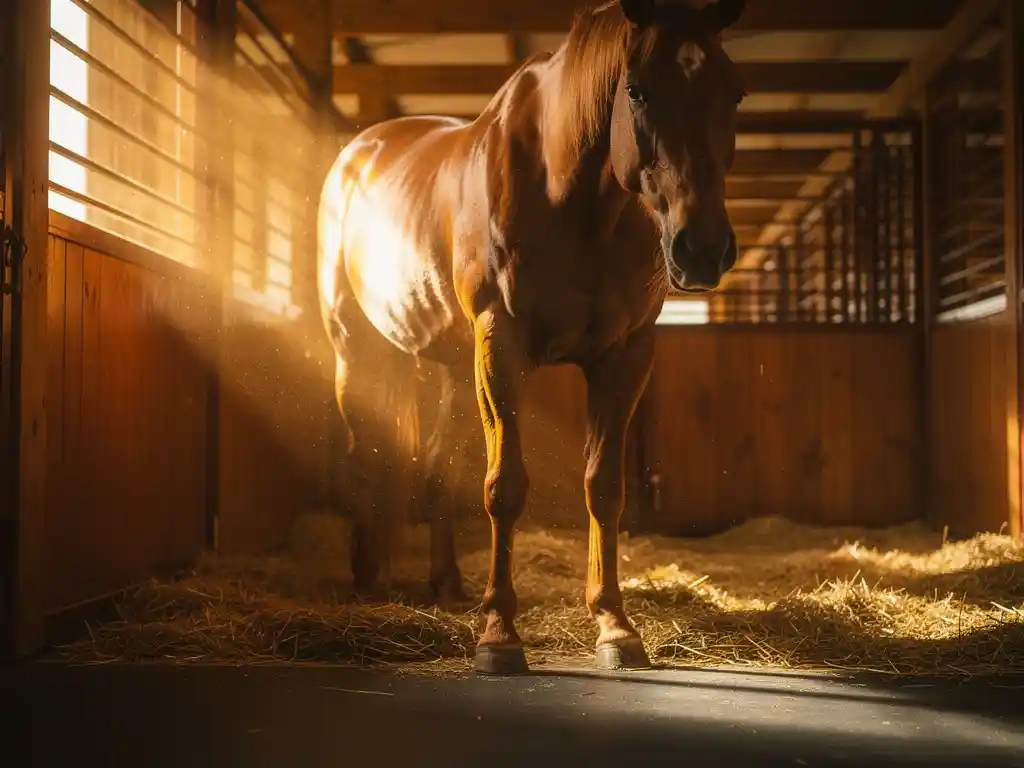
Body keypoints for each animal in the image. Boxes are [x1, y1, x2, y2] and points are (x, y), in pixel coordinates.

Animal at [317, 0, 747, 675]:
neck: (572, 195)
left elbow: (604, 488)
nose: (701, 249)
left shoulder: (624, 356)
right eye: (636, 89)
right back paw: (368, 584)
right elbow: (505, 487)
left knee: (436, 467)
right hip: (356, 347)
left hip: (449, 365)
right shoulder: (502, 343)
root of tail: (359, 152)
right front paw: (498, 634)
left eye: (733, 91)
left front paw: (616, 627)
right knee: (366, 456)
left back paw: (445, 585)